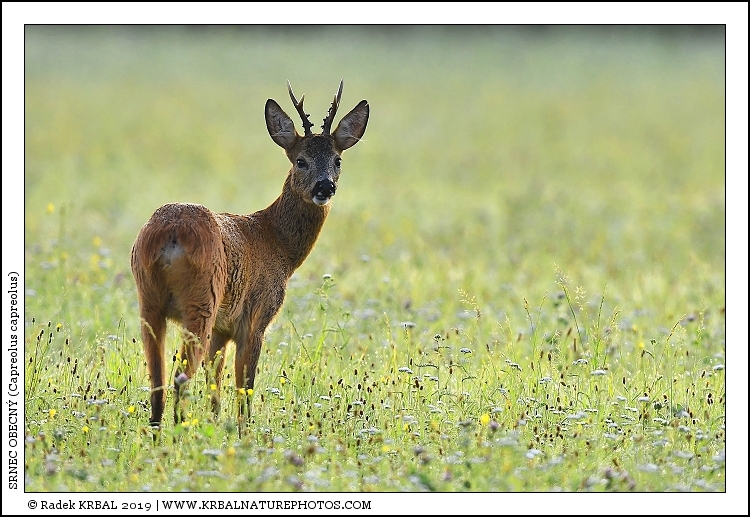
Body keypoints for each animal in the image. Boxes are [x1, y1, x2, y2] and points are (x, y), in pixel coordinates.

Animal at [130, 80, 369, 428]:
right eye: (300, 160)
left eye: (337, 159)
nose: (325, 187)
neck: (278, 244)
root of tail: (169, 234)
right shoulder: (255, 318)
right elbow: (245, 386)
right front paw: (244, 433)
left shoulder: (222, 328)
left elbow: (215, 381)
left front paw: (215, 424)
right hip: (201, 301)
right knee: (180, 375)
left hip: (149, 300)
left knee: (157, 377)